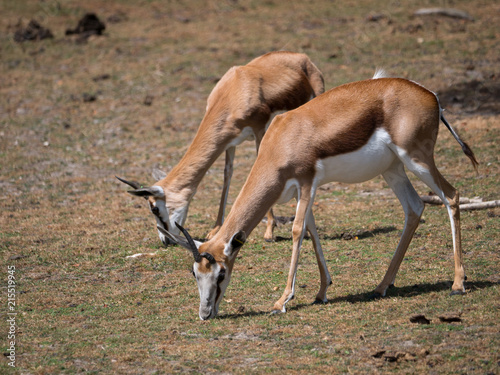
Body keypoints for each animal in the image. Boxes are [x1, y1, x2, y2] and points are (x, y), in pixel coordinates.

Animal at [116, 53, 324, 247]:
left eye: (155, 209)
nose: (165, 240)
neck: (234, 91)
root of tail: (302, 57)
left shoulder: (259, 130)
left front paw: (269, 231)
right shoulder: (229, 141)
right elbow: (227, 176)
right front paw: (214, 230)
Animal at [162, 75, 478, 320]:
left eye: (220, 274)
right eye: (195, 274)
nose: (205, 314)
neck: (282, 141)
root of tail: (431, 96)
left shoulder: (307, 183)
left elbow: (297, 230)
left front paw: (281, 301)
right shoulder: (302, 191)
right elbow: (312, 230)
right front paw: (322, 291)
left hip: (417, 159)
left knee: (451, 195)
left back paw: (458, 283)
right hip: (393, 170)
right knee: (414, 207)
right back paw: (381, 286)